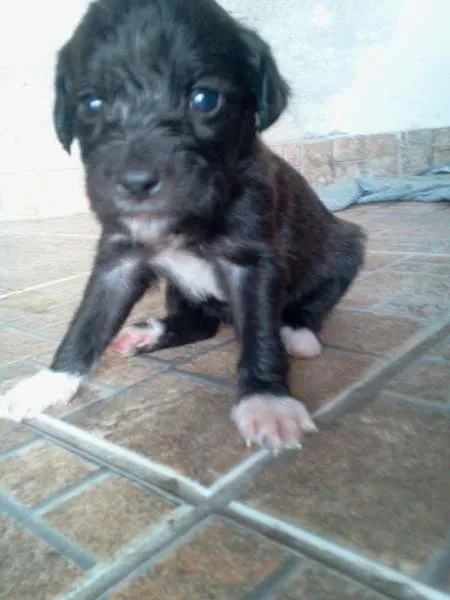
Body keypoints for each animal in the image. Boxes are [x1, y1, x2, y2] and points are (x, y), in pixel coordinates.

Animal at [0, 0, 365, 451]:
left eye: (205, 99)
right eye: (91, 105)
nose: (136, 182)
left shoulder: (252, 264)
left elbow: (260, 330)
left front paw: (267, 399)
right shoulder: (119, 259)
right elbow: (88, 320)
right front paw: (52, 380)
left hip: (346, 246)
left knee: (315, 301)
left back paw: (297, 332)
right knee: (201, 323)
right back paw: (148, 334)